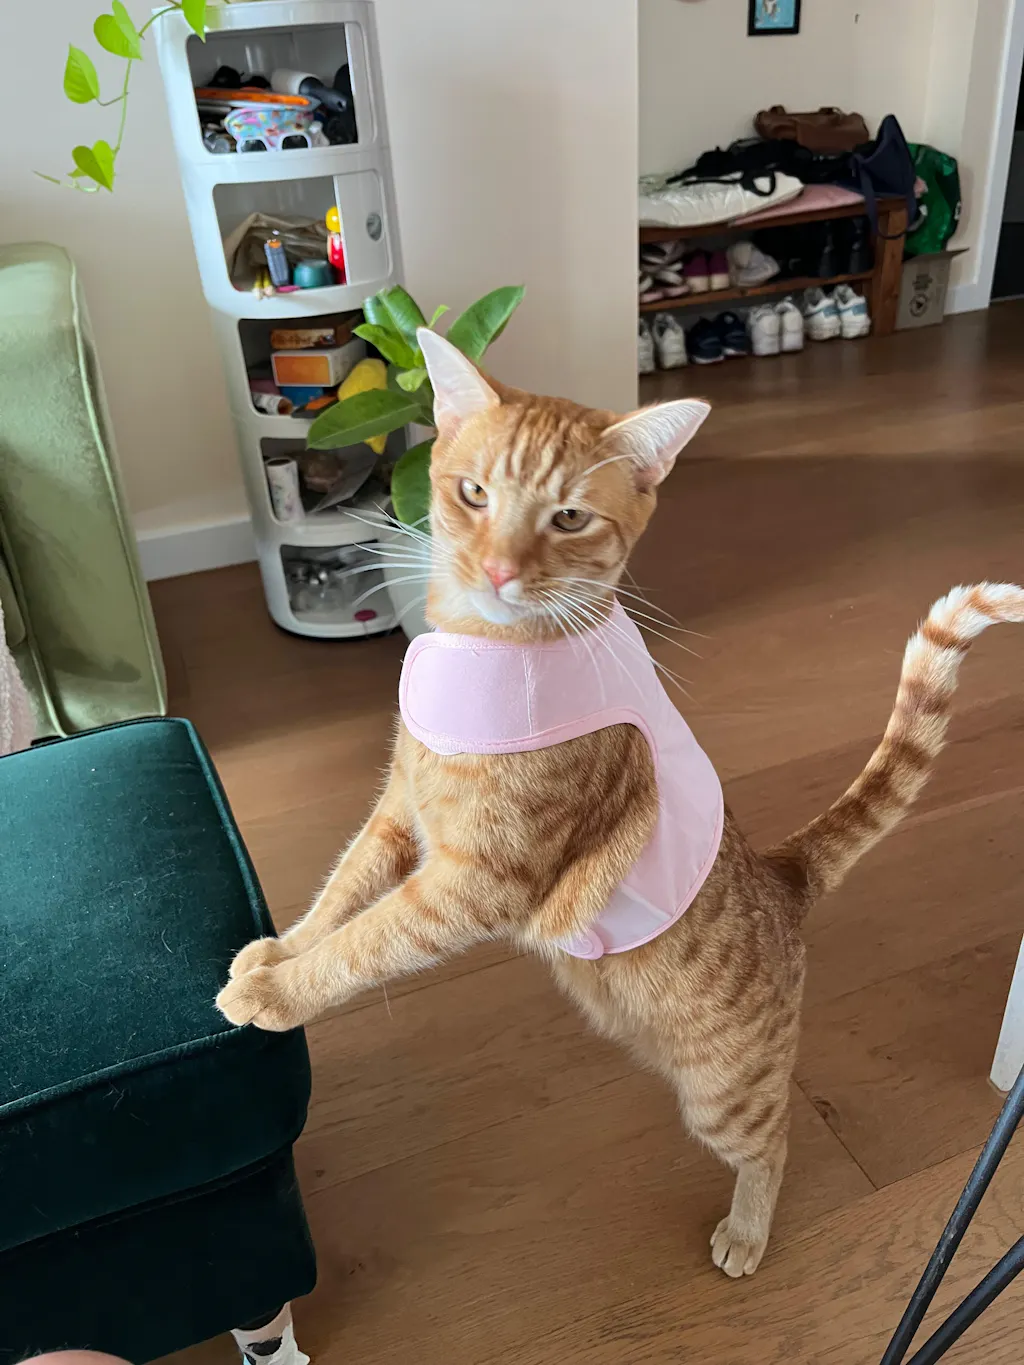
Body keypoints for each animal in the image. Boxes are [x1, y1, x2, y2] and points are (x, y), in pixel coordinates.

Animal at [218, 328, 1024, 1278]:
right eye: (473, 492)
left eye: (568, 518)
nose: (500, 569)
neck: (484, 651)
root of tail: (782, 873)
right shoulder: (397, 816)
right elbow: (339, 895)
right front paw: (275, 953)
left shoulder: (475, 883)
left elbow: (365, 944)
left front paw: (278, 995)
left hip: (722, 1088)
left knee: (775, 1139)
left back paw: (748, 1231)